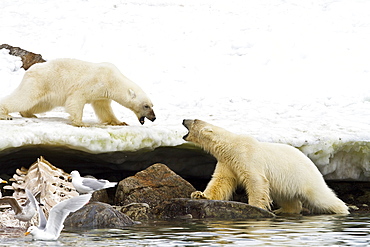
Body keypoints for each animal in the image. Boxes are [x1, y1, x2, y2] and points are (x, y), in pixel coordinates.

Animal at [0, 58, 155, 126]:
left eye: (152, 105)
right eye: (146, 106)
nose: (154, 118)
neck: (113, 80)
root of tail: (30, 70)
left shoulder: (102, 94)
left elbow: (103, 108)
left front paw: (120, 122)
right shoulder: (93, 82)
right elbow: (76, 98)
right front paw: (81, 123)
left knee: (40, 104)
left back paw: (29, 114)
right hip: (40, 82)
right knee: (24, 98)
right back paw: (6, 115)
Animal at [184, 119, 350, 214]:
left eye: (195, 120)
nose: (184, 119)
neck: (232, 145)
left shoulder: (247, 156)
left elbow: (256, 180)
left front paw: (255, 206)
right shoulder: (227, 162)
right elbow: (221, 181)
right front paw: (199, 194)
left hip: (305, 178)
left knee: (322, 197)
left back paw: (343, 210)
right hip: (286, 185)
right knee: (287, 198)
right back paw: (282, 210)